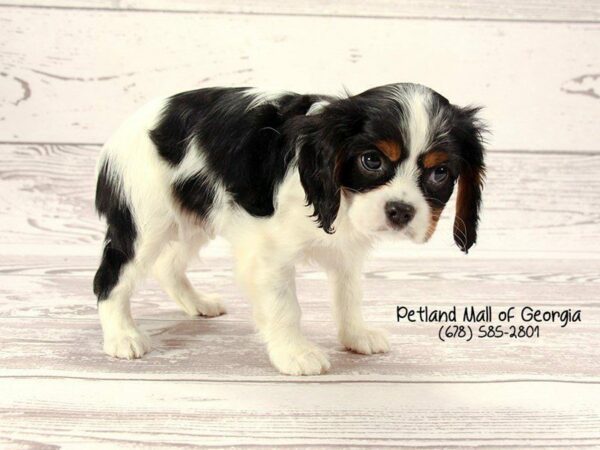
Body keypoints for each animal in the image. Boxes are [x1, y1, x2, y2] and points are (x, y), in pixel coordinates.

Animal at [95, 82, 488, 374]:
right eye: (371, 161)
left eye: (440, 173)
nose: (401, 211)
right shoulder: (268, 257)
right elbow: (285, 307)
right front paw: (295, 353)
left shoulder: (346, 254)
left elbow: (349, 296)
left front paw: (356, 336)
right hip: (145, 222)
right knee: (109, 278)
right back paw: (122, 337)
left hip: (193, 218)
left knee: (167, 265)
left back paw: (197, 303)